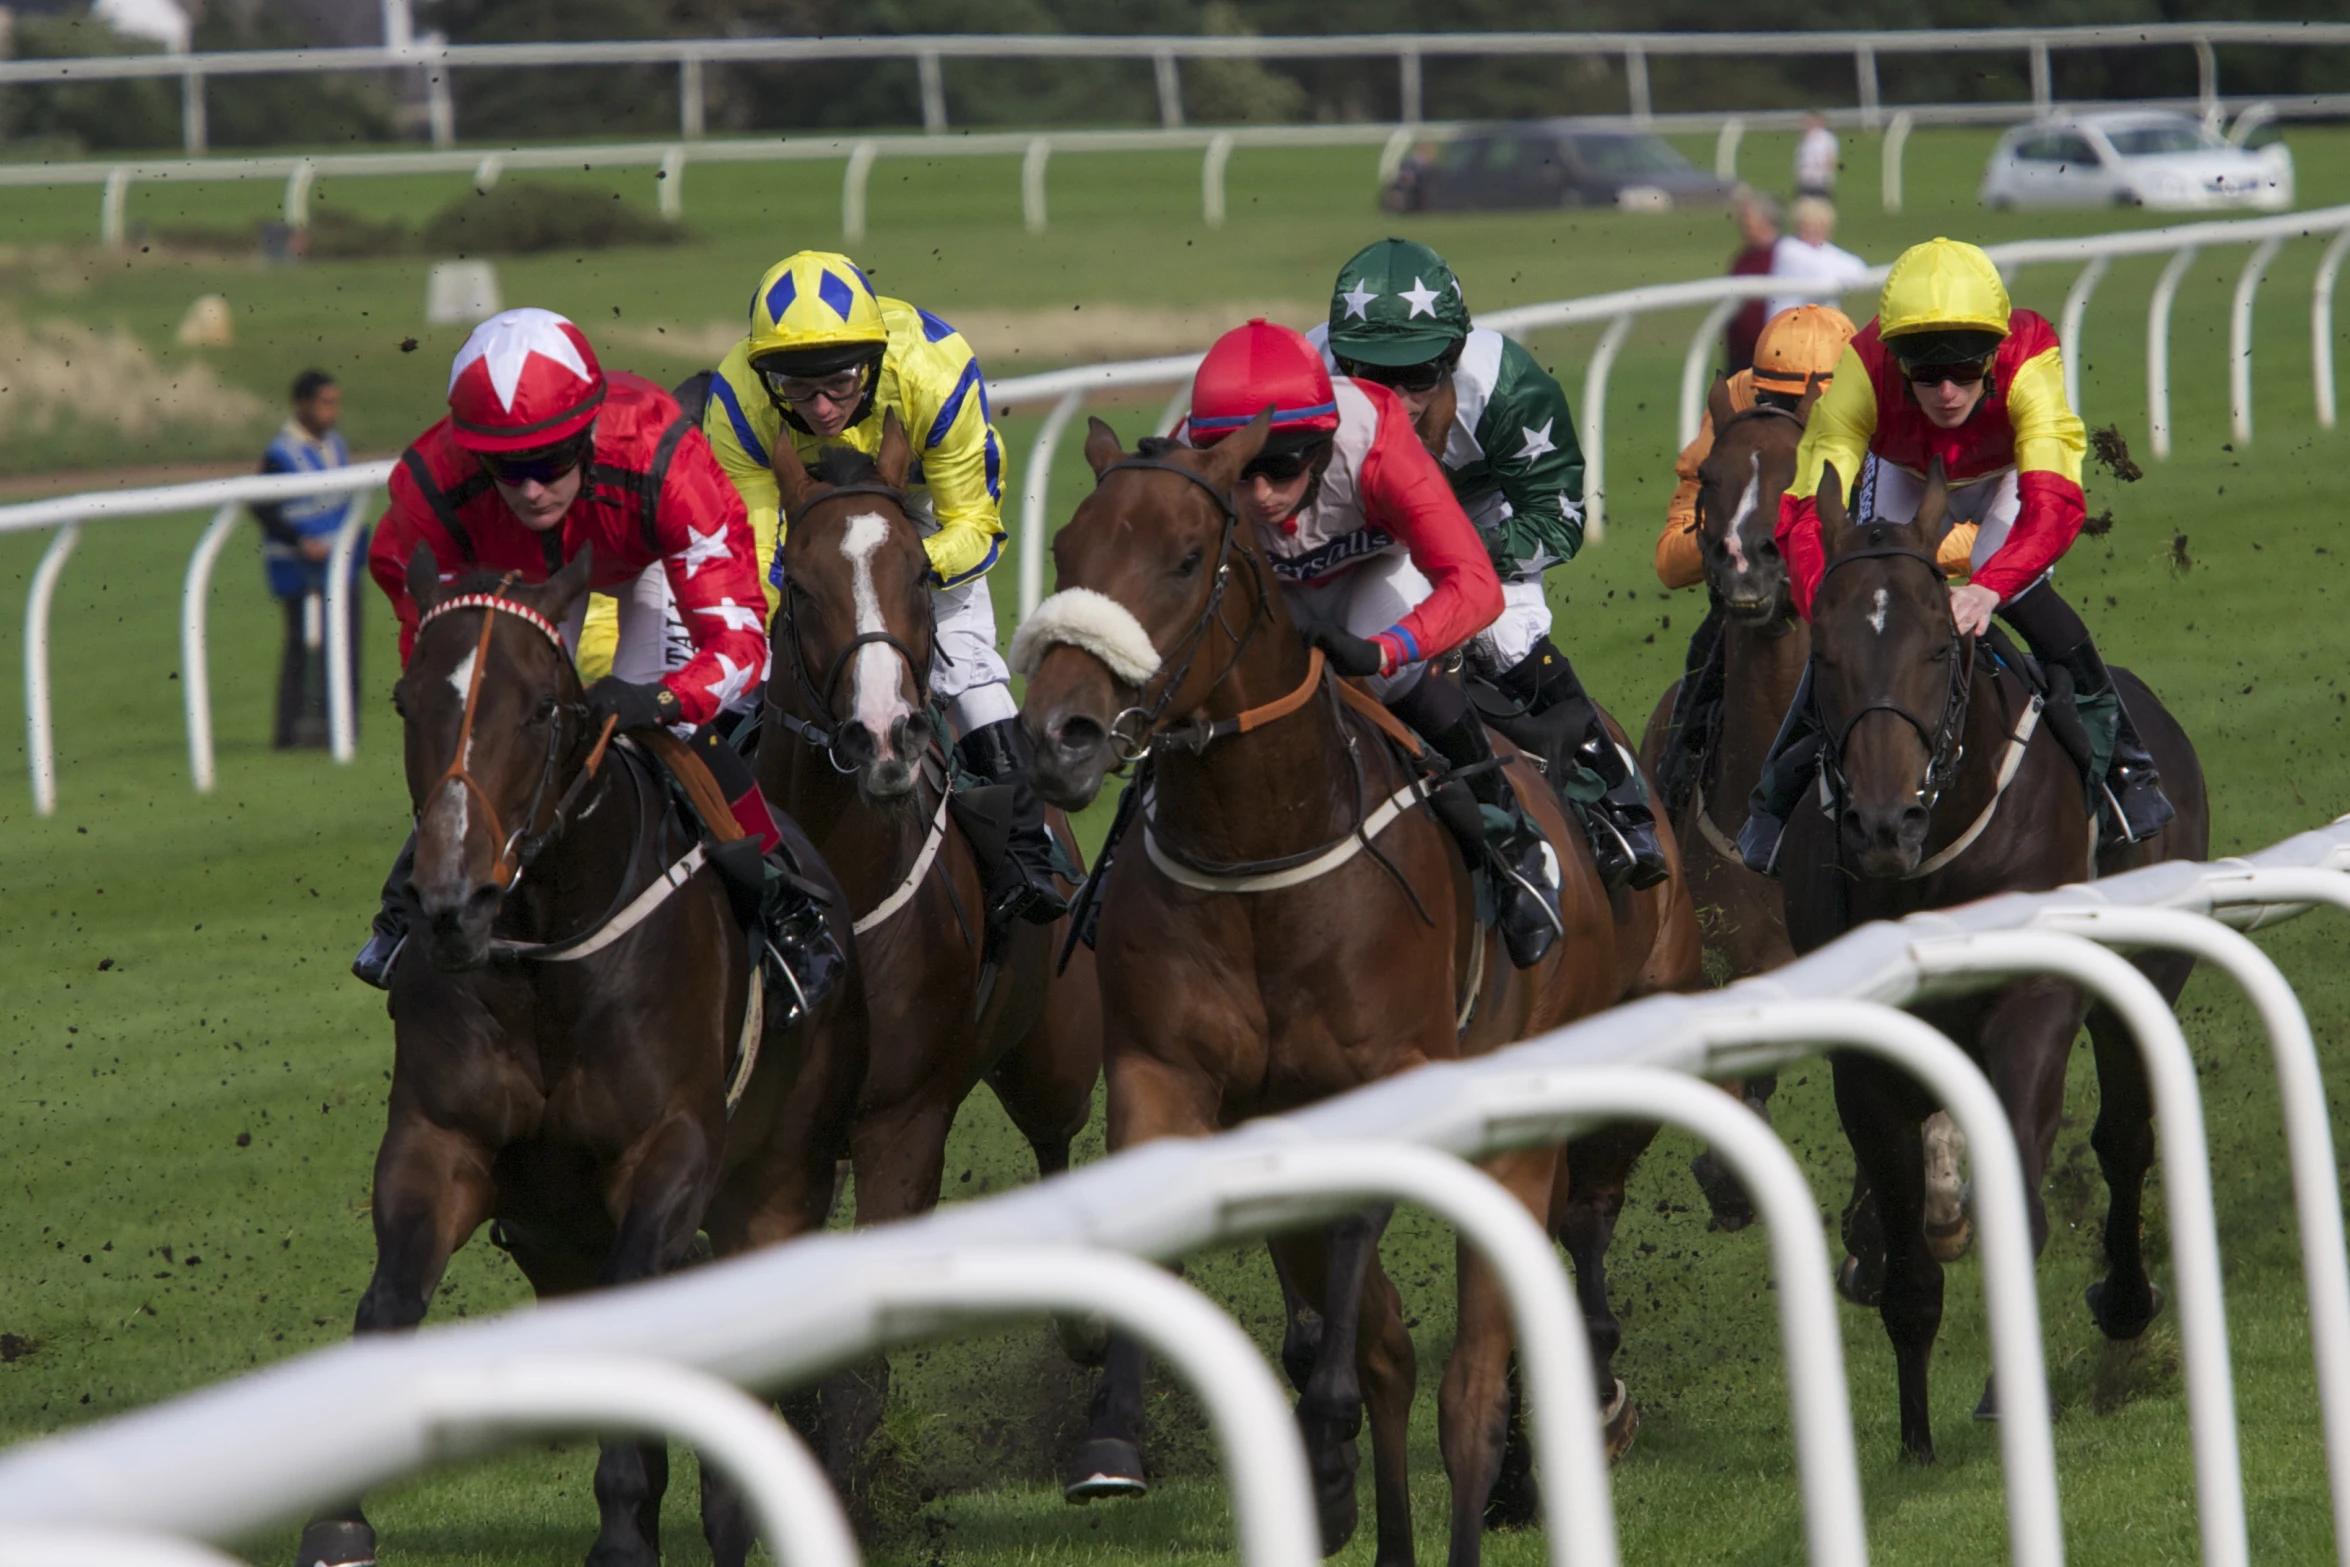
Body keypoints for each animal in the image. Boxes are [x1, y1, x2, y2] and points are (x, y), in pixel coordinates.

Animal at [300, 552, 874, 1567]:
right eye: (407, 701)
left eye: (539, 707)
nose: (451, 901)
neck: (543, 952)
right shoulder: (439, 1141)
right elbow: (387, 1304)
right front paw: (337, 1518)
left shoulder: (669, 1148)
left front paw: (624, 1524)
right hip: (553, 1229)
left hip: (781, 1178)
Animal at [761, 413, 1109, 1456]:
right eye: (798, 582)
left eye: (918, 571)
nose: (884, 735)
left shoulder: (902, 1119)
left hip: (1054, 1052)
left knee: (1056, 1137)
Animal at [1019, 415, 1701, 1567]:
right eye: (1066, 550)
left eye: (1184, 559)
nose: (1057, 734)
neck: (1261, 845)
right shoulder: (1171, 1077)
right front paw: (1113, 1436)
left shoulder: (1391, 1078)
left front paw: (1328, 1437)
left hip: (1583, 1085)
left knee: (1510, 1330)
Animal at [1785, 460, 2209, 1465]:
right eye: (1824, 653)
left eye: (1942, 646)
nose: (1884, 824)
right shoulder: (1868, 1055)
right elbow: (1904, 1246)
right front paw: (1914, 1438)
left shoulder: (2034, 1004)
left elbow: (2021, 1192)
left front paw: (2006, 1392)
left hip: (2141, 979)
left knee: (2125, 1137)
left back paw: (2124, 1301)